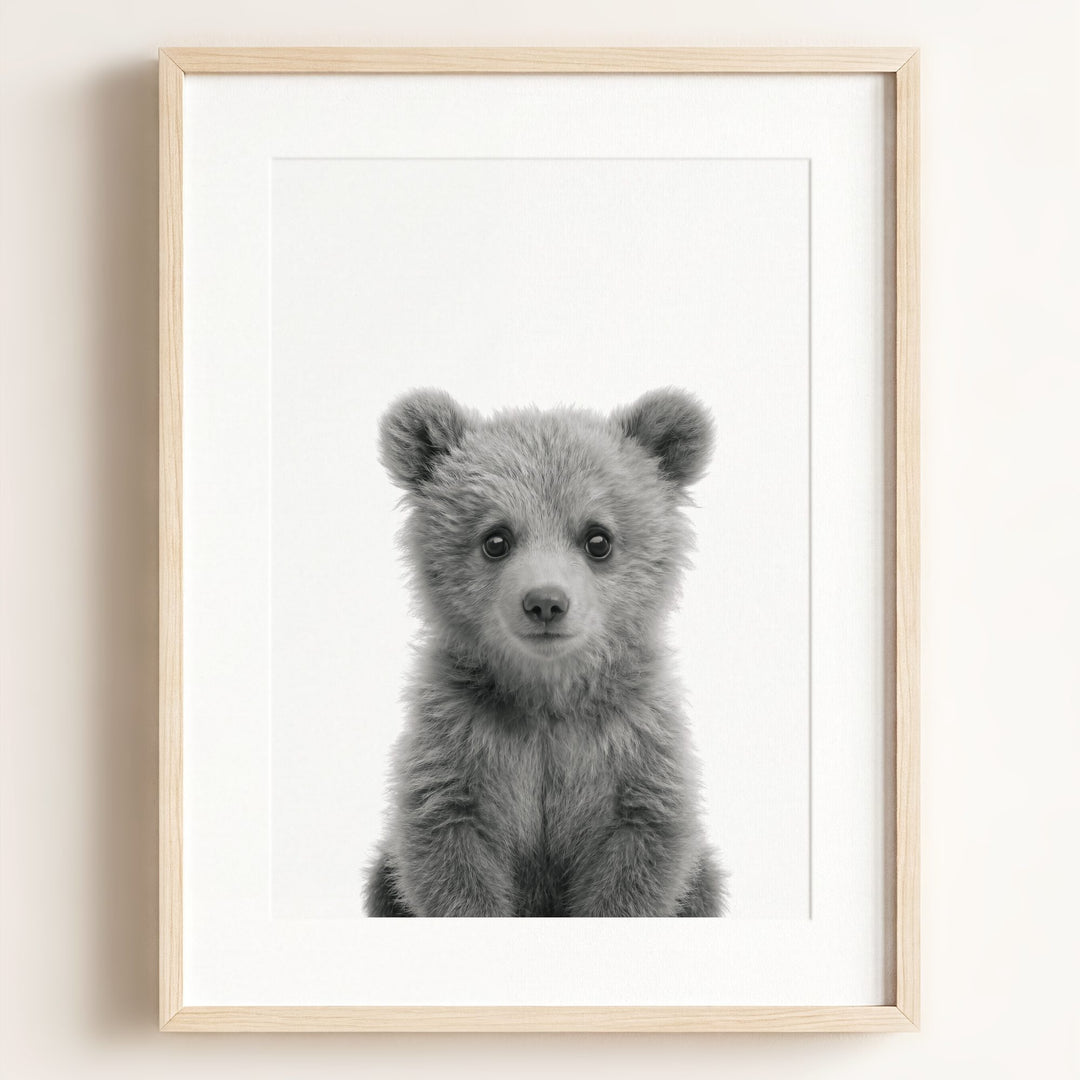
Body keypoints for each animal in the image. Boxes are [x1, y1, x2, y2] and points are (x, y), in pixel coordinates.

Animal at [365, 387, 727, 917]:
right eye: (495, 539)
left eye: (598, 538)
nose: (546, 602)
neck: (546, 695)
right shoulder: (459, 742)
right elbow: (448, 852)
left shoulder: (632, 747)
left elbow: (639, 856)